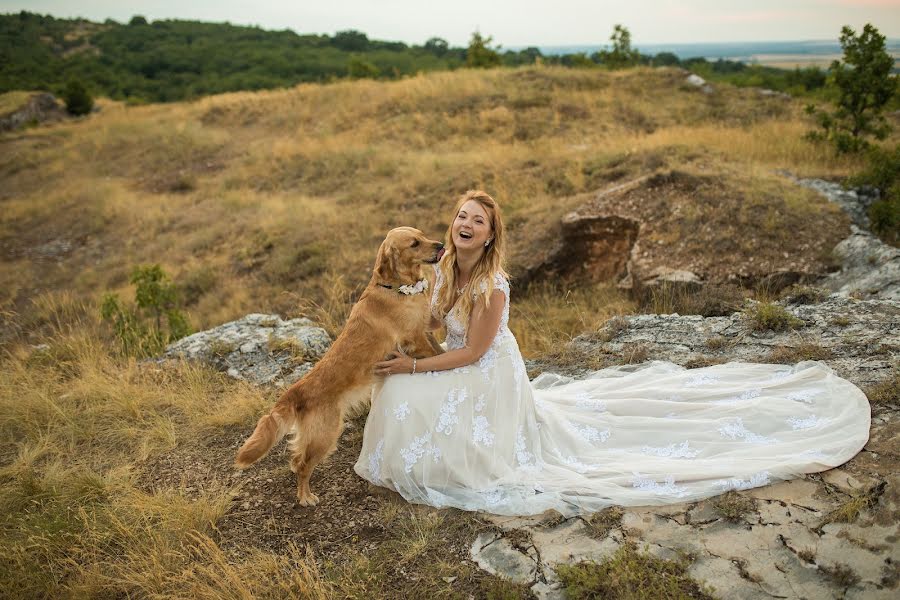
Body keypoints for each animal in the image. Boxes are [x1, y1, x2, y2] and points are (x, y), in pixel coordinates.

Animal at [232, 227, 442, 504]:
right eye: (415, 243)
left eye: (423, 234)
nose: (441, 245)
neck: (396, 287)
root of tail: (295, 391)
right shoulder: (415, 339)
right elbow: (436, 353)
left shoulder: (425, 332)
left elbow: (441, 350)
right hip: (325, 435)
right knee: (304, 466)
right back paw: (305, 497)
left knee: (296, 457)